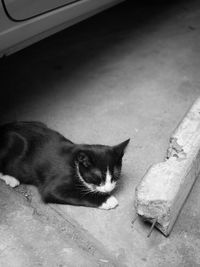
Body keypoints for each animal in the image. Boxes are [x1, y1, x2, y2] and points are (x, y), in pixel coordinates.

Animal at [0, 122, 130, 210]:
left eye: (116, 175)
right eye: (97, 177)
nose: (109, 189)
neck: (75, 165)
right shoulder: (52, 186)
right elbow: (76, 194)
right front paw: (107, 200)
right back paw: (10, 178)